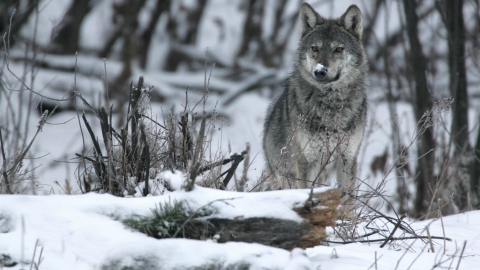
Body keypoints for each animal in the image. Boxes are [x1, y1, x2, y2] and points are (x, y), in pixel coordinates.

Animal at [262, 2, 368, 194]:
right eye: (315, 48)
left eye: (338, 49)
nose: (320, 71)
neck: (331, 105)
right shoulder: (307, 161)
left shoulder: (348, 159)